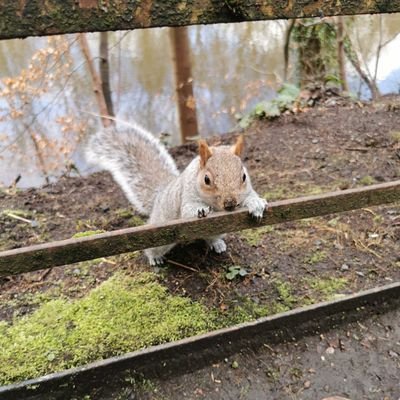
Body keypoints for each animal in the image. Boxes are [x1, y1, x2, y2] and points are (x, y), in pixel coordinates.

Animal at [85, 122, 268, 266]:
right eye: (206, 179)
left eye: (244, 176)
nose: (229, 204)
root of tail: (159, 196)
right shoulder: (186, 196)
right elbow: (187, 210)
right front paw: (201, 210)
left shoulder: (246, 191)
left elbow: (251, 196)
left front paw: (256, 204)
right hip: (159, 236)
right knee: (152, 249)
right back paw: (154, 259)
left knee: (210, 237)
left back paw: (217, 243)